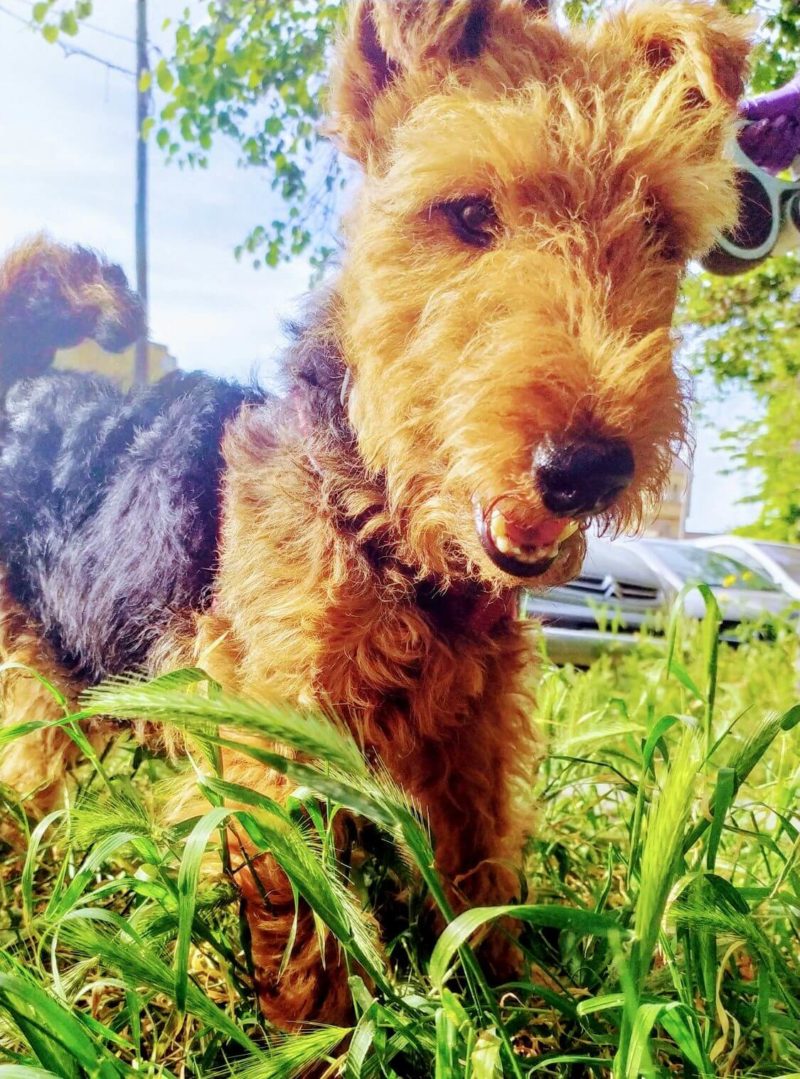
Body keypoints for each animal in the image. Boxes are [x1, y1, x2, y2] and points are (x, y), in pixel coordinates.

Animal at [0, 0, 750, 1029]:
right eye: (467, 212)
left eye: (658, 228)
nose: (588, 468)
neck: (387, 532)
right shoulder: (275, 738)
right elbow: (303, 922)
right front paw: (325, 1039)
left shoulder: (474, 736)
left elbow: (480, 878)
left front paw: (524, 1005)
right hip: (32, 708)